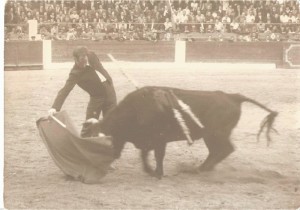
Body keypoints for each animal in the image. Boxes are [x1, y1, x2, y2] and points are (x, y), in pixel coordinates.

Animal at [88, 86, 278, 178]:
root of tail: (232, 96)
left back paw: (201, 169)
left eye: (110, 135)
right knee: (218, 151)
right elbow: (145, 155)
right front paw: (152, 171)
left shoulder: (159, 139)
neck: (135, 110)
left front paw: (156, 173)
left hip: (215, 134)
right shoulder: (151, 141)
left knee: (224, 149)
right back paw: (203, 168)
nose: (112, 155)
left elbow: (156, 156)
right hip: (212, 136)